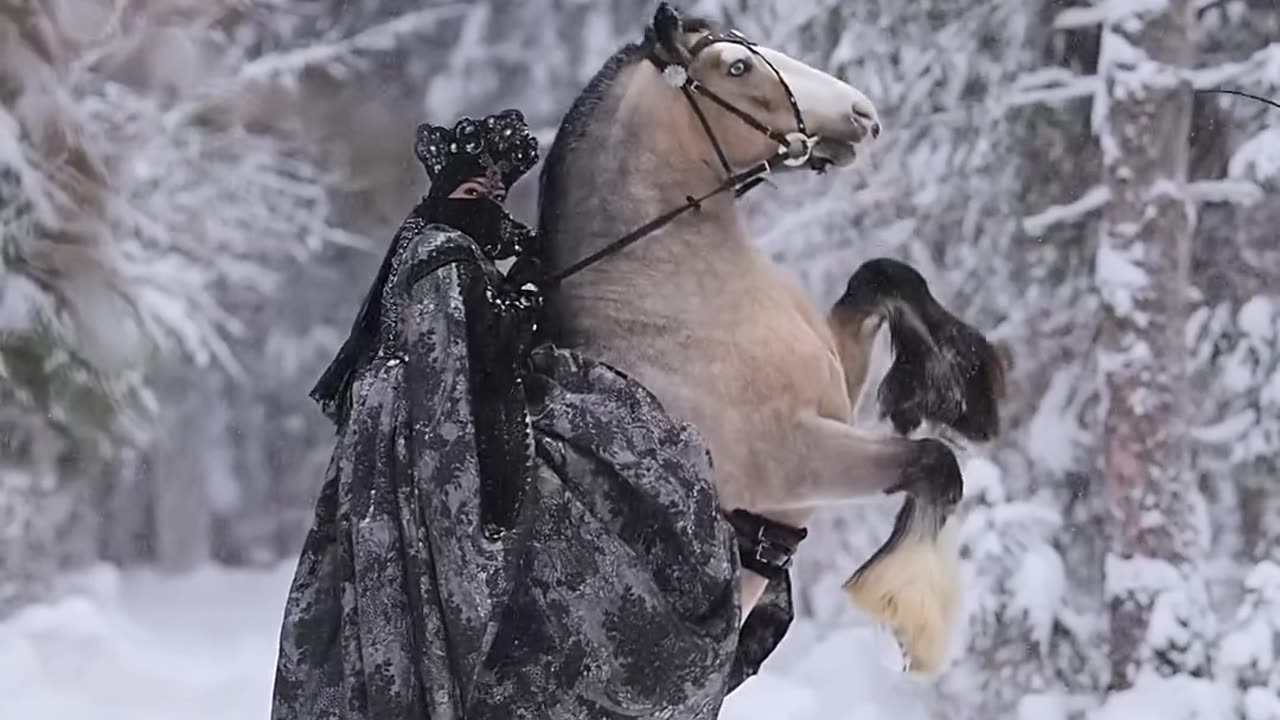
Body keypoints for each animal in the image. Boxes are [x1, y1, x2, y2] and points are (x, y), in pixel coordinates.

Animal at [532, 4, 962, 617]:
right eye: (737, 66)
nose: (863, 114)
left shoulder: (836, 391)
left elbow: (880, 277)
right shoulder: (798, 460)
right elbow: (933, 463)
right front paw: (909, 609)